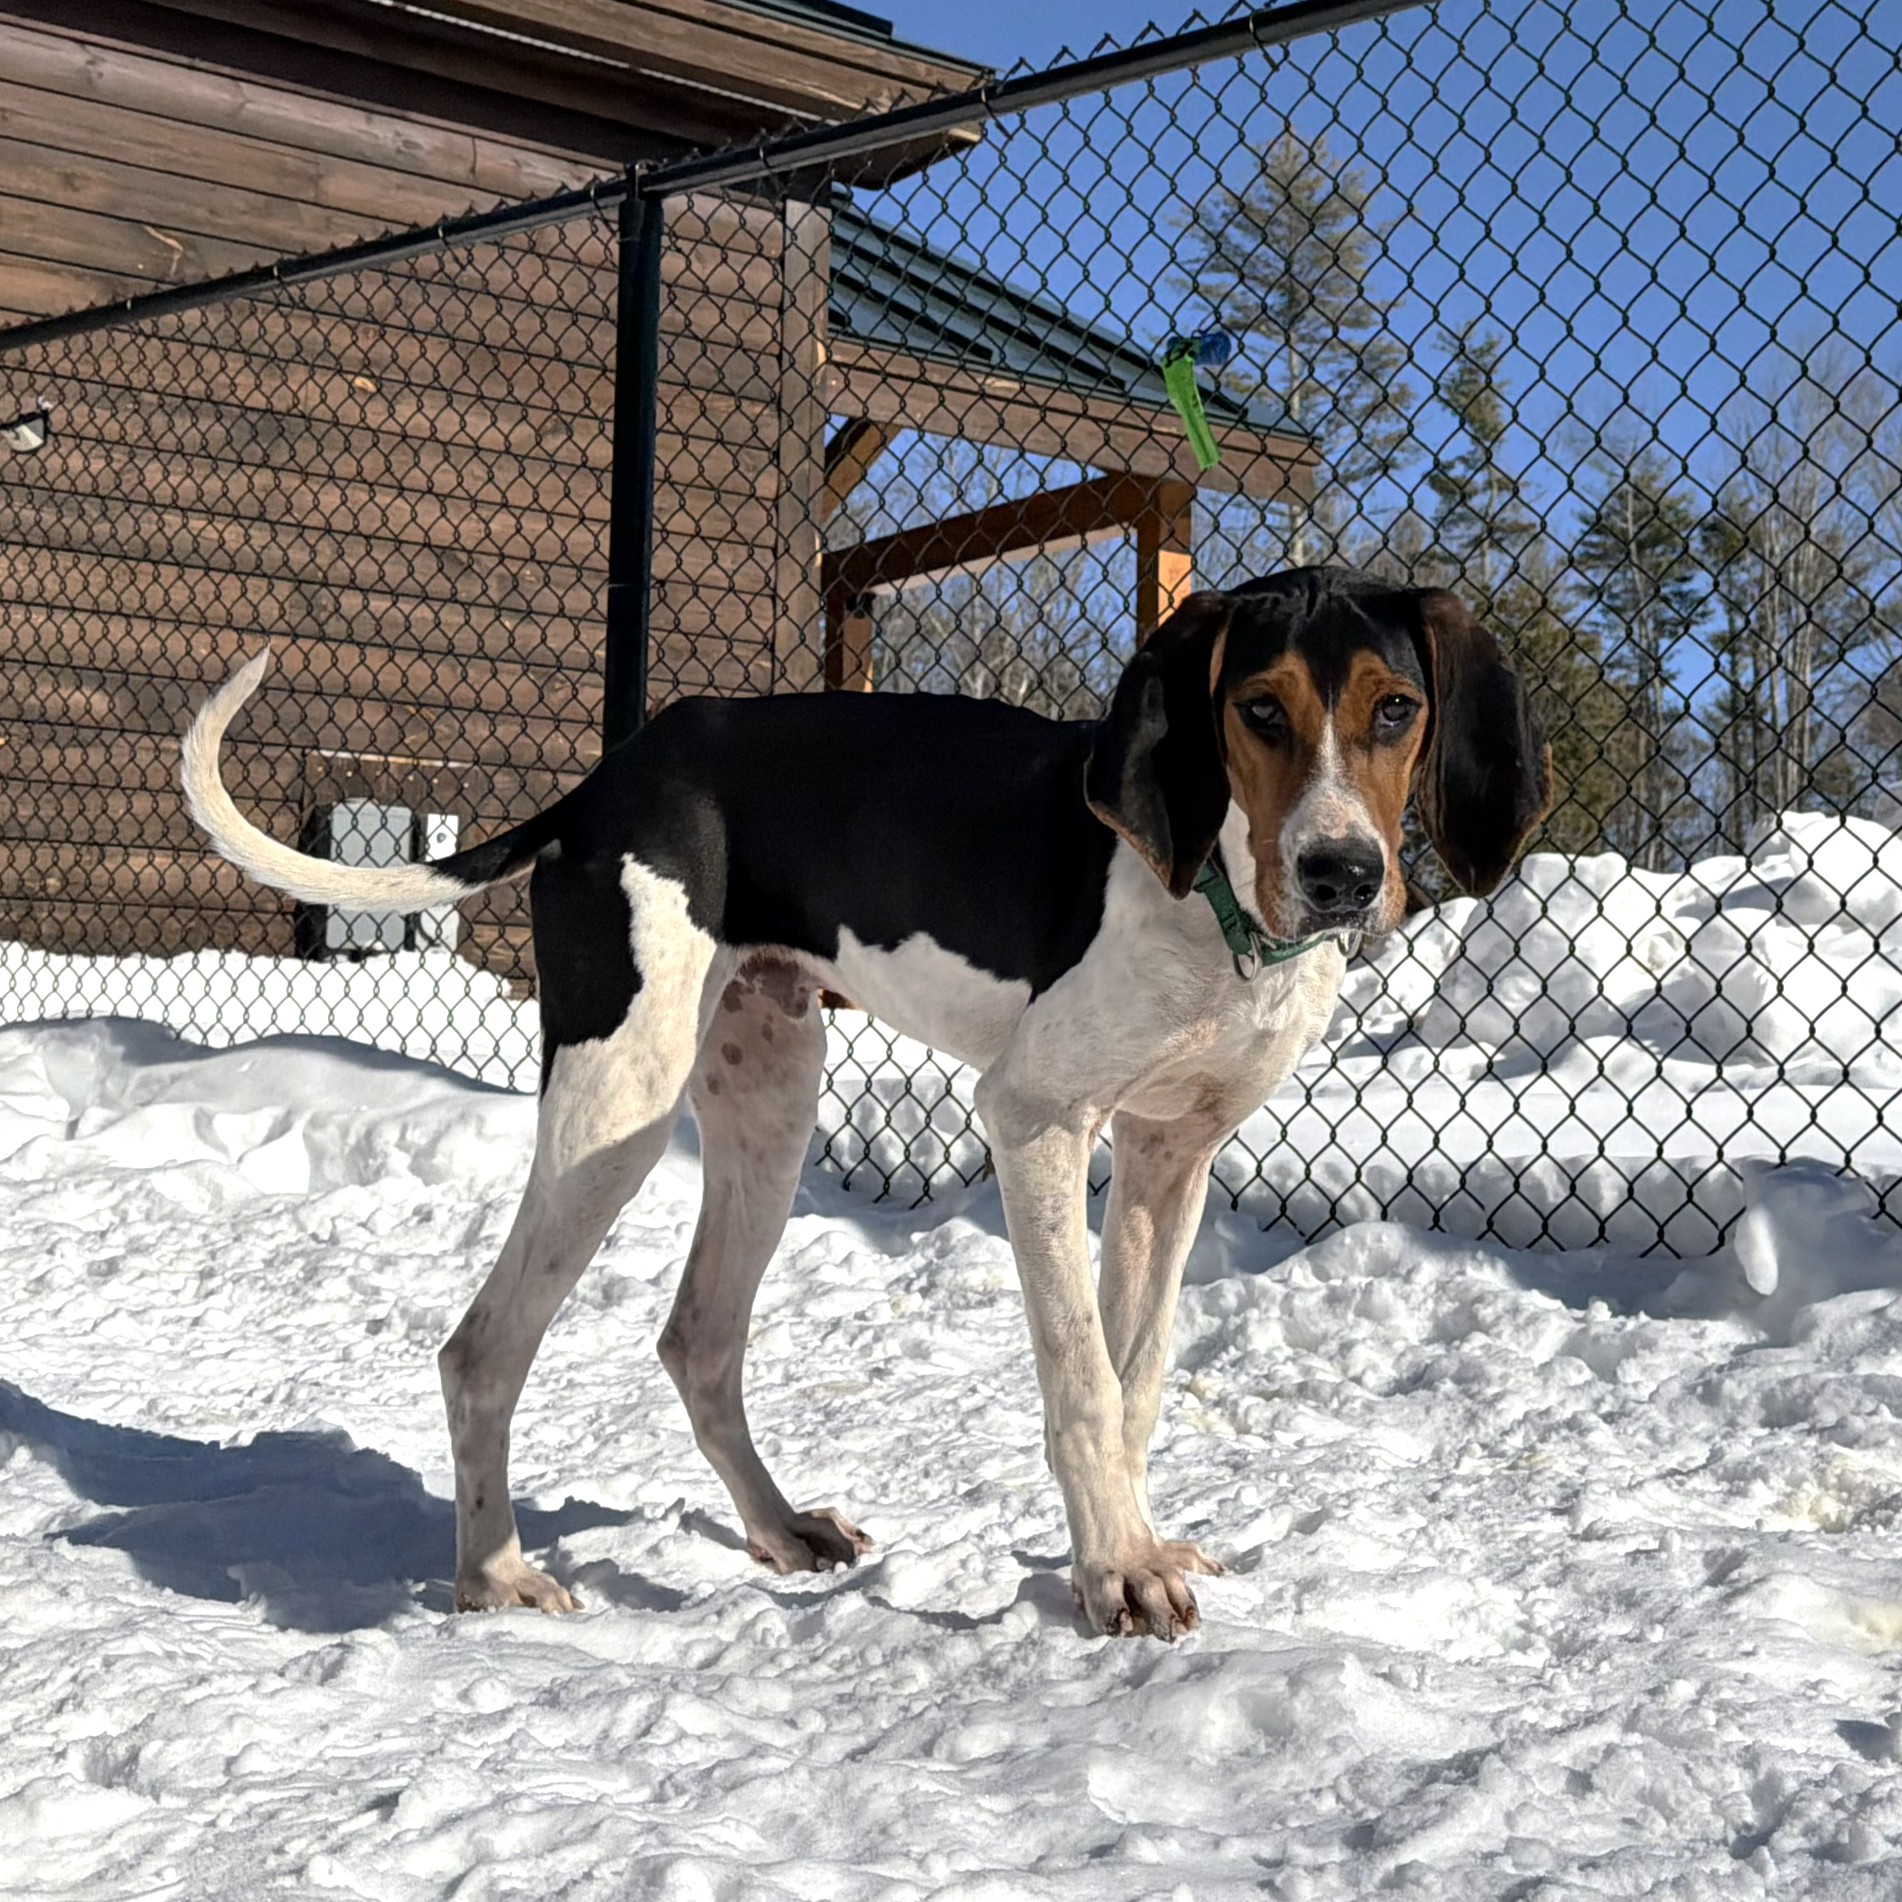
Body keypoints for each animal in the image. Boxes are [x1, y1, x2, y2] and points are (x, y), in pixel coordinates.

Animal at [182, 565, 1549, 1639]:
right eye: (1259, 710)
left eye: (1396, 711)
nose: (1343, 876)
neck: (1208, 902)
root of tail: (609, 781)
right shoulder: (1035, 1119)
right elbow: (1080, 1376)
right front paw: (1112, 1574)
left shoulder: (1172, 1153)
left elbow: (1139, 1378)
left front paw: (1131, 1546)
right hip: (617, 1104)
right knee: (482, 1350)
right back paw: (499, 1578)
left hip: (769, 1097)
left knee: (698, 1338)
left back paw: (780, 1530)